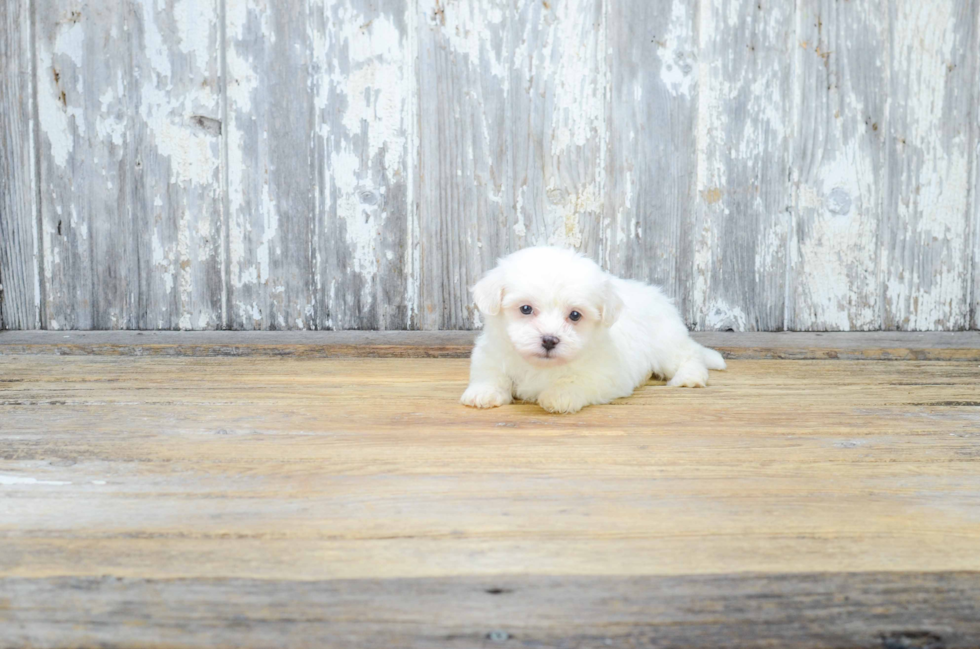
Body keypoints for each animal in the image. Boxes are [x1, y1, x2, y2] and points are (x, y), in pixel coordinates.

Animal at [462, 246, 728, 412]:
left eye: (575, 315)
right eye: (525, 309)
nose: (549, 340)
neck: (541, 366)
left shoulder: (606, 374)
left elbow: (577, 381)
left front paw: (559, 395)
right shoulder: (491, 354)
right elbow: (491, 373)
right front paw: (483, 393)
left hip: (665, 343)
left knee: (688, 356)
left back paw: (689, 378)